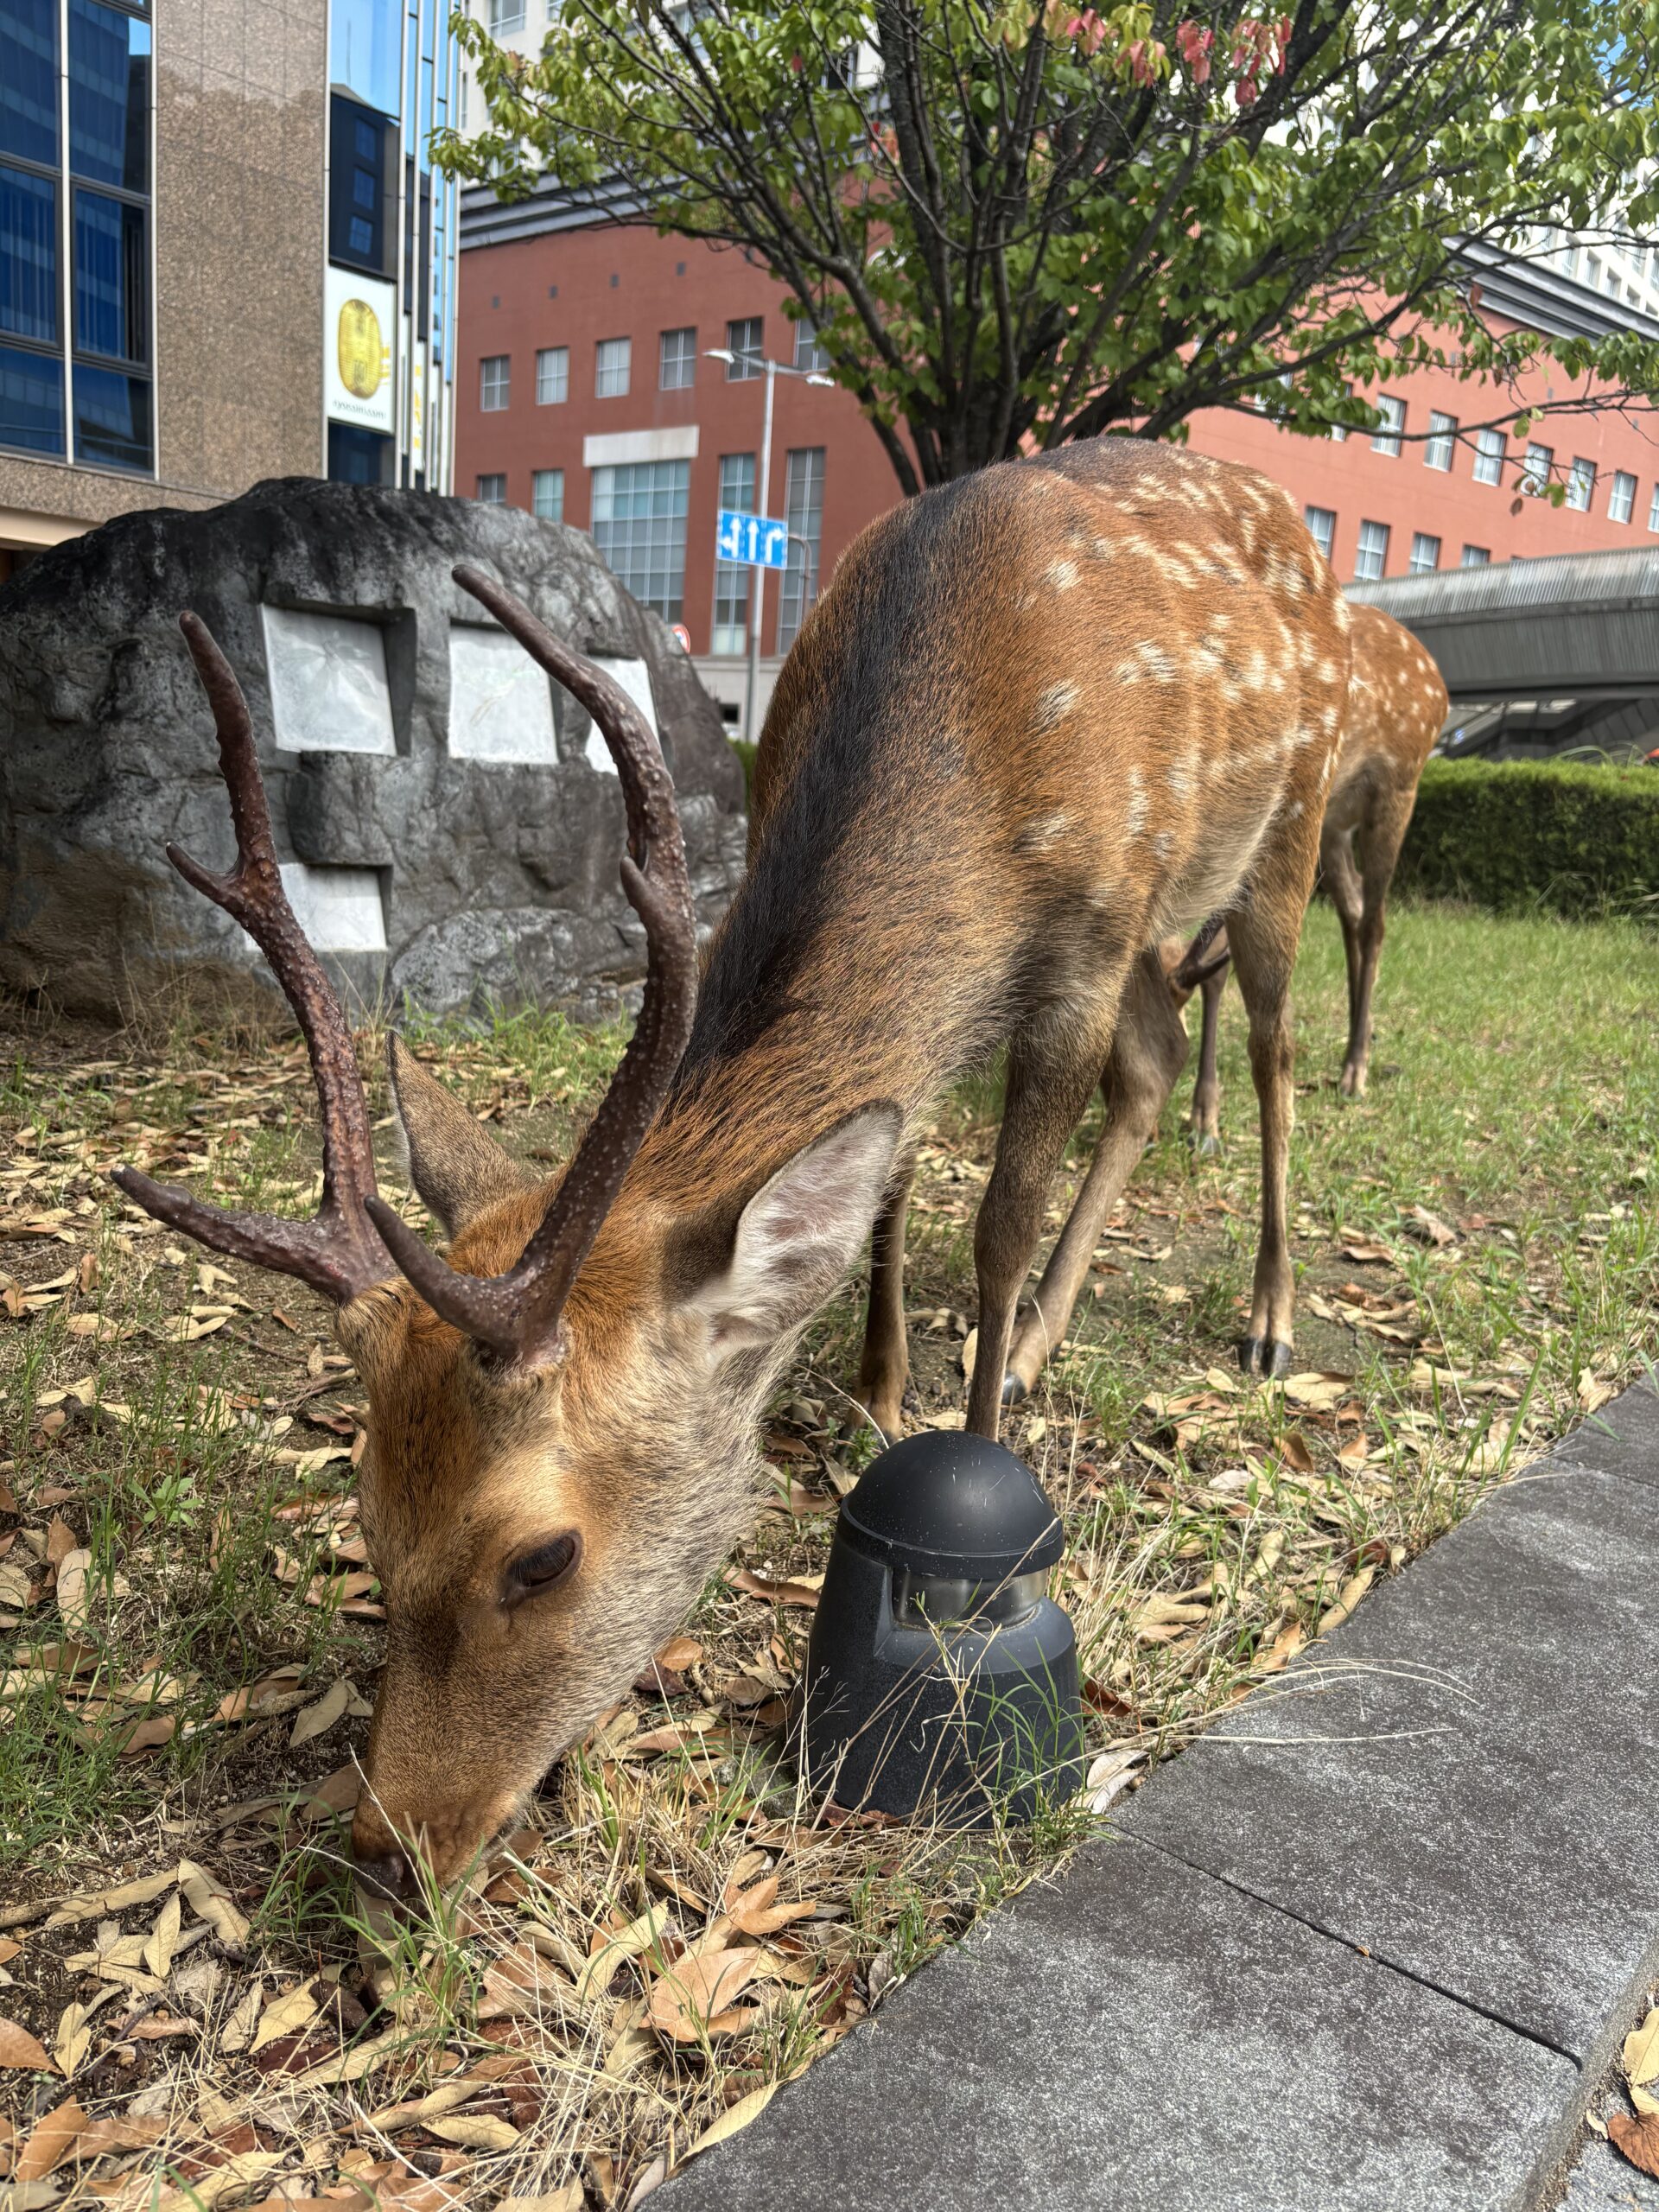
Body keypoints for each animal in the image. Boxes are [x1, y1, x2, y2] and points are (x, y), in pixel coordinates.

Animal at [111, 440, 1351, 1896]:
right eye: (365, 1509)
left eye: (540, 1558)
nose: (388, 1846)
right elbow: (890, 1167)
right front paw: (880, 1388)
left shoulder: (1093, 937)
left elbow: (996, 1220)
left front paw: (984, 1458)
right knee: (1154, 1070)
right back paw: (1058, 1335)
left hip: (1286, 825)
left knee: (1268, 1052)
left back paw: (1261, 1322)